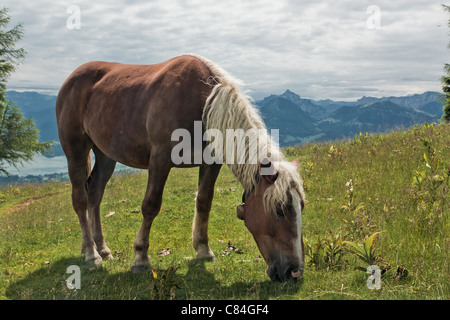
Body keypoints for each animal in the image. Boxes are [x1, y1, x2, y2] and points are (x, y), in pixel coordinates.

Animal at [54, 53, 304, 282]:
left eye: (301, 207)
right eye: (280, 210)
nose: (294, 272)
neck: (202, 104)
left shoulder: (211, 163)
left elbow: (204, 202)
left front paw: (203, 250)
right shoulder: (160, 160)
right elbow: (150, 206)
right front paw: (140, 258)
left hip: (106, 155)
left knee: (95, 194)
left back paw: (102, 249)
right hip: (75, 149)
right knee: (80, 199)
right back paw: (91, 253)